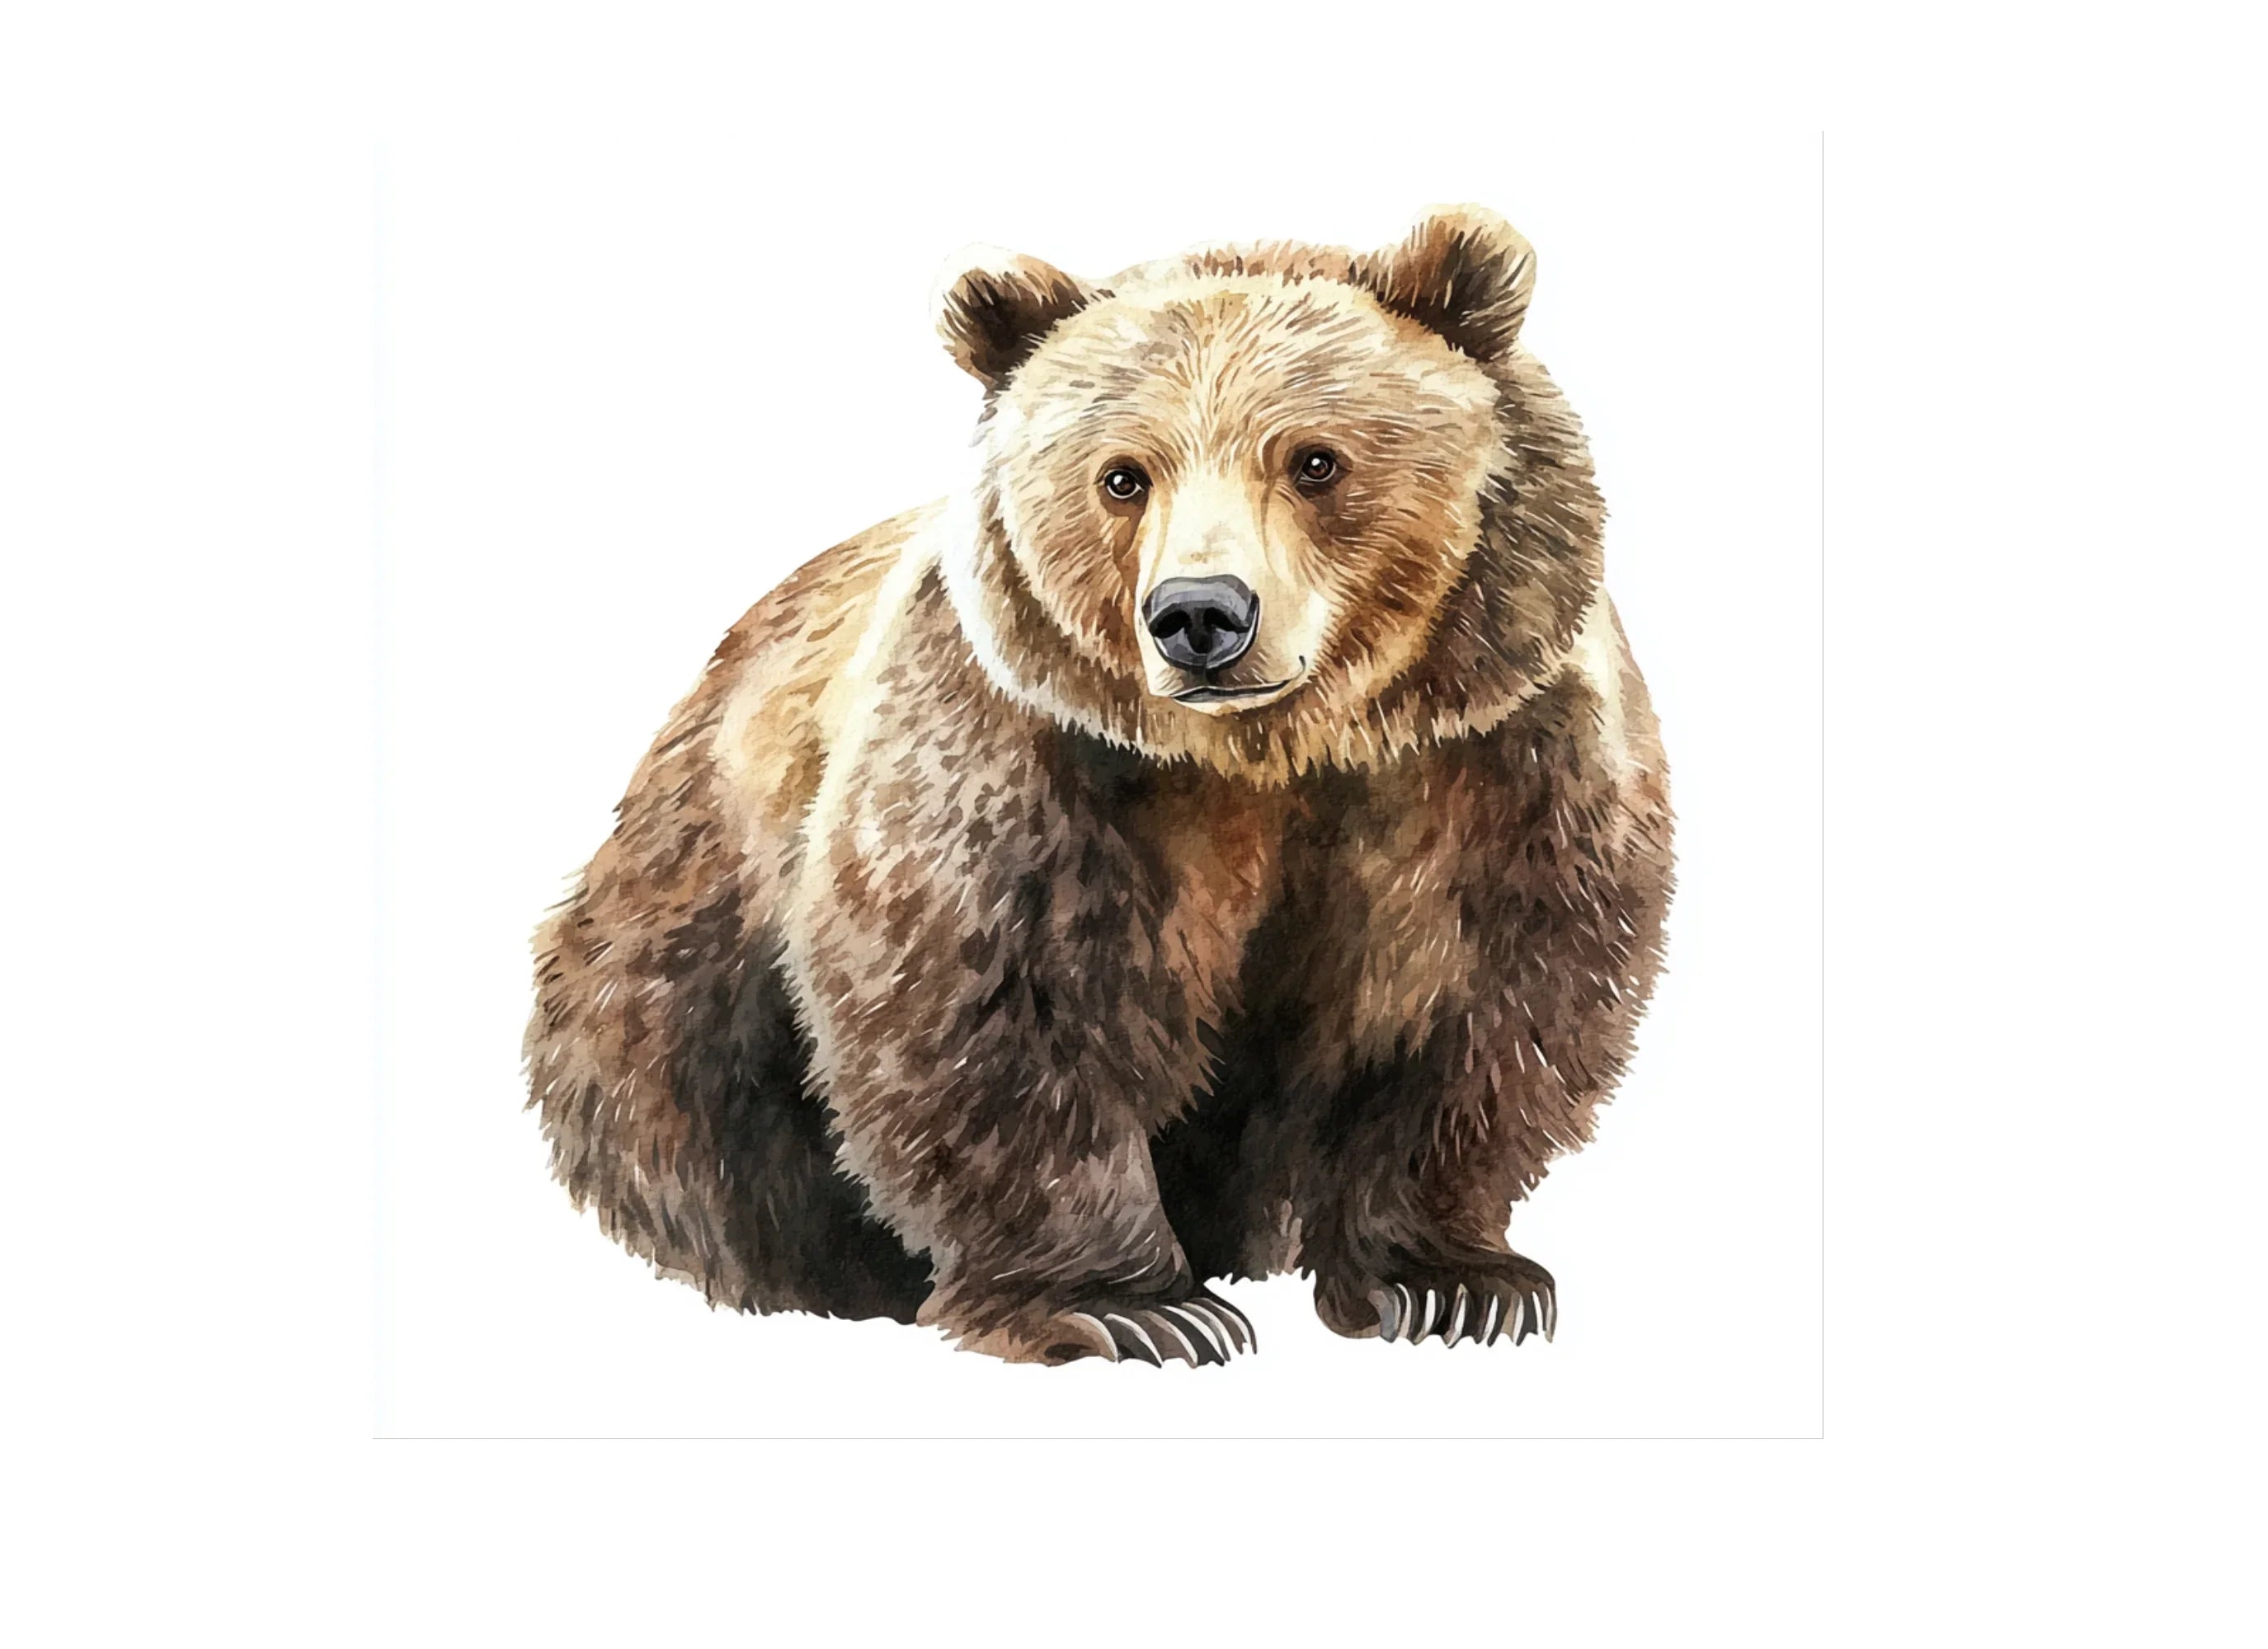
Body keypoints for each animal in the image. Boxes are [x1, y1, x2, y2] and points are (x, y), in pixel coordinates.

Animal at [525, 206, 1673, 1365]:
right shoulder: (1029, 755)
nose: (1200, 613)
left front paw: (1452, 1283)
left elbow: (1473, 1001)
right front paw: (1131, 1304)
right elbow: (999, 1005)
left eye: (1314, 460)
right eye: (1123, 474)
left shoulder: (1489, 758)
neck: (1267, 753)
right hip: (677, 971)